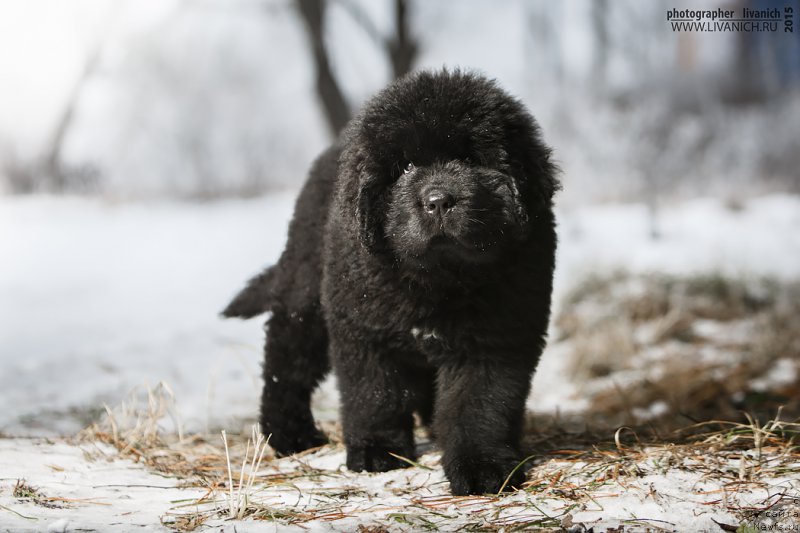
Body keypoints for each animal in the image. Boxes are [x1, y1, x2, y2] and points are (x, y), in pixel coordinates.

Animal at [222, 69, 560, 494]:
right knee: (286, 363)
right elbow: (375, 394)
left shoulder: (497, 336)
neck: (439, 280)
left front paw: (482, 466)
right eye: (406, 167)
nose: (438, 201)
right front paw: (377, 452)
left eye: (469, 160)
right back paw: (290, 434)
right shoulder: (365, 329)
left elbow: (481, 403)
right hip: (307, 295)